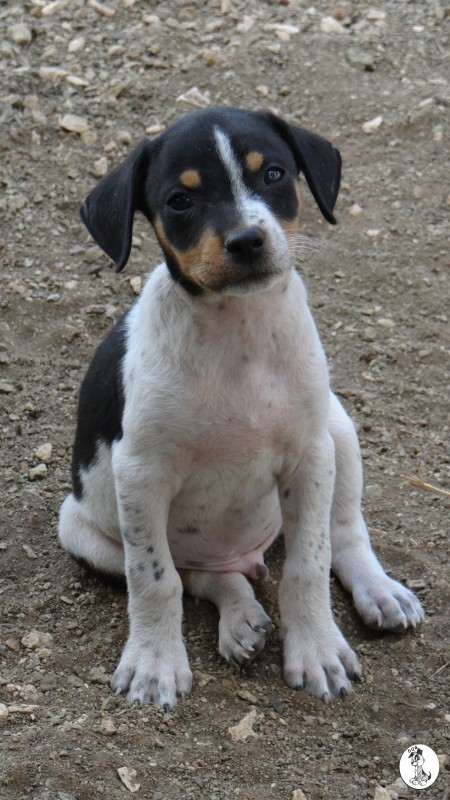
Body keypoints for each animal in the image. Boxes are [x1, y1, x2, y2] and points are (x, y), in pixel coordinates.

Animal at [59, 107, 424, 709]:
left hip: (338, 429)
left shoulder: (309, 455)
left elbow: (308, 563)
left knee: (345, 531)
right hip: (82, 530)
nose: (247, 240)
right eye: (180, 201)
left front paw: (317, 649)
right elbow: (154, 579)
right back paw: (240, 617)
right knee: (198, 575)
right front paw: (155, 662)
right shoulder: (140, 473)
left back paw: (378, 591)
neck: (238, 333)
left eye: (273, 174)